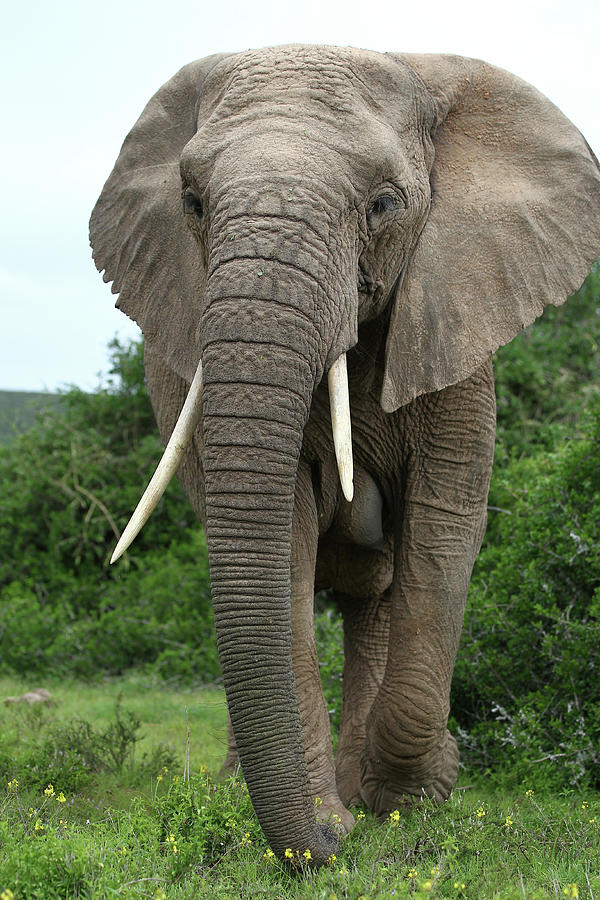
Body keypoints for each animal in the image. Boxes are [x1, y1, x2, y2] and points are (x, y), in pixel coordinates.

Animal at [89, 45, 600, 860]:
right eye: (192, 203)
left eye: (385, 204)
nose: (326, 849)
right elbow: (285, 540)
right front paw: (337, 817)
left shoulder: (454, 330)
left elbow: (444, 529)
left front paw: (415, 795)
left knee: (377, 604)